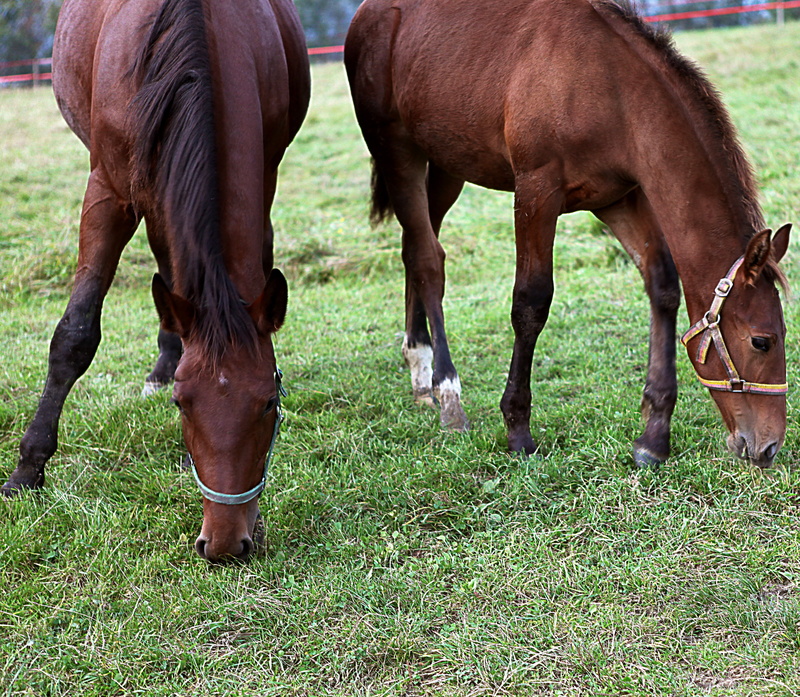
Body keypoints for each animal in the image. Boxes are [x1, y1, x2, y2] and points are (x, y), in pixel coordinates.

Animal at [1, 0, 310, 562]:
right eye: (182, 404)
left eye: (269, 404)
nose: (225, 542)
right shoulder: (107, 191)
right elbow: (74, 336)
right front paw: (28, 469)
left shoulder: (265, 174)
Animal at [345, 0, 791, 469]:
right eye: (761, 342)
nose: (768, 446)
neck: (613, 90)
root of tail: (367, 14)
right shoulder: (536, 191)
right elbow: (531, 302)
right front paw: (518, 430)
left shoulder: (618, 198)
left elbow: (662, 285)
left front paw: (653, 436)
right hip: (398, 152)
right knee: (428, 260)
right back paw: (446, 390)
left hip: (449, 161)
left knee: (416, 245)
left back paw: (420, 369)